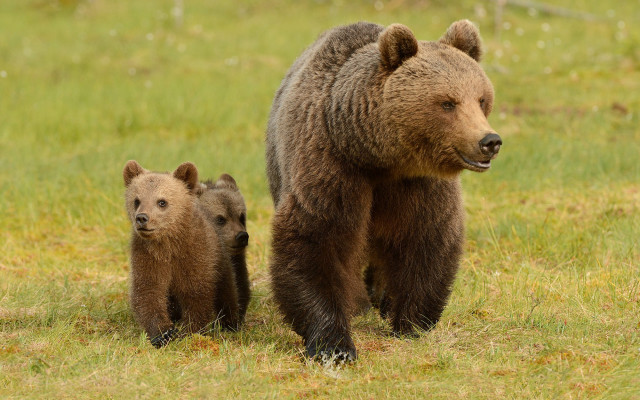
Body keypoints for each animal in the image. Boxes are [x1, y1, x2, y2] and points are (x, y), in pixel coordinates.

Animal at [123, 160, 240, 348]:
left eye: (162, 202)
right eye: (136, 200)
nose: (142, 218)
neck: (168, 244)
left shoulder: (194, 254)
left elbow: (196, 292)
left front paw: (191, 331)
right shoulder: (147, 255)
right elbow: (147, 291)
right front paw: (163, 333)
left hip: (220, 259)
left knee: (227, 288)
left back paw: (230, 322)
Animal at [265, 20, 502, 362]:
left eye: (481, 99)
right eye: (447, 102)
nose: (489, 141)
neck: (380, 159)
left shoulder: (420, 185)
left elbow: (426, 238)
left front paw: (410, 321)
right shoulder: (330, 165)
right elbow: (316, 237)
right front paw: (334, 344)